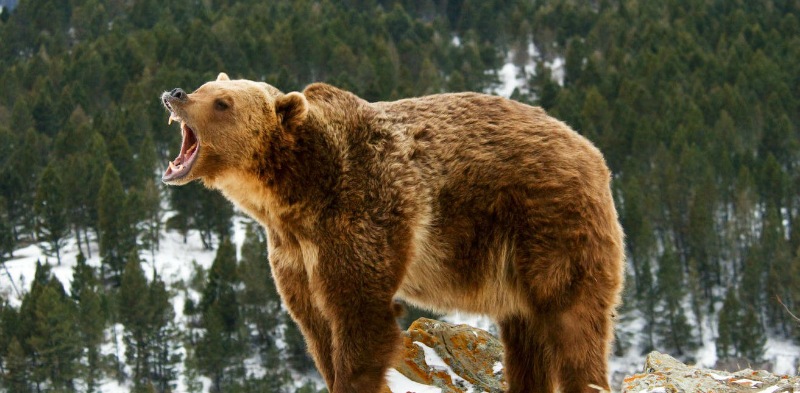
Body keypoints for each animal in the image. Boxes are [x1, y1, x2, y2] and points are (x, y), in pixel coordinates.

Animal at [161, 73, 624, 392]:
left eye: (223, 103)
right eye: (205, 86)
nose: (176, 94)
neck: (297, 195)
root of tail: (593, 153)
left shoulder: (363, 214)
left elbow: (362, 318)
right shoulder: (294, 253)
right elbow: (317, 328)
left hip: (550, 225)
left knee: (572, 322)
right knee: (526, 338)